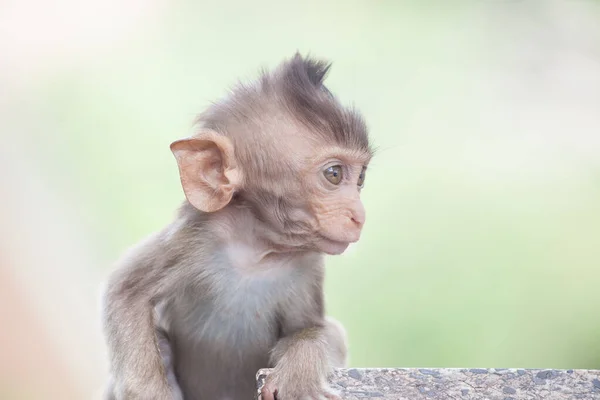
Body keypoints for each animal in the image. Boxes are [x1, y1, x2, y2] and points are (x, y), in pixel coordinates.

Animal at [103, 54, 372, 400]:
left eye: (361, 177)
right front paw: (151, 394)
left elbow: (314, 329)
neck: (256, 250)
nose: (359, 215)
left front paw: (298, 374)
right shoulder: (193, 239)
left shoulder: (307, 266)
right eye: (334, 174)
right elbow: (127, 293)